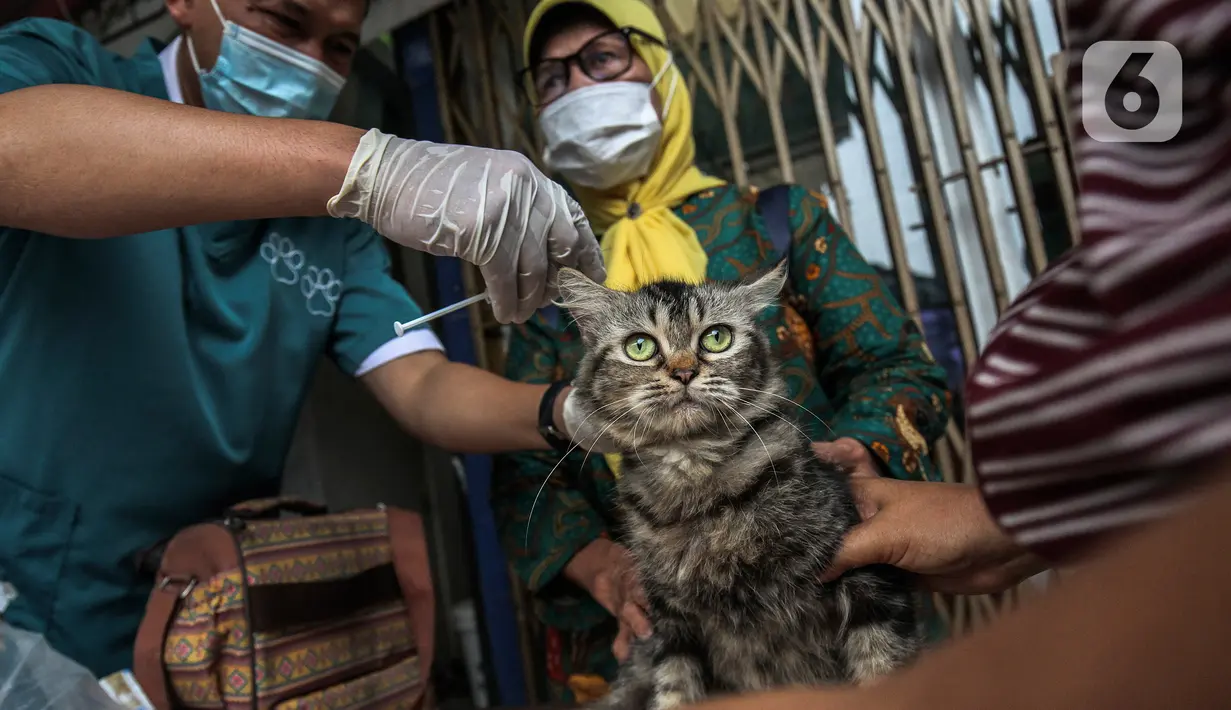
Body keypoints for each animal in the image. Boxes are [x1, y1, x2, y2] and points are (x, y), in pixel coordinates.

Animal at [553, 262, 920, 708]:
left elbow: (881, 665)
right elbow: (674, 689)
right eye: (639, 346)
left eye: (717, 338)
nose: (684, 372)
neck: (696, 483)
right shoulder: (670, 624)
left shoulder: (865, 582)